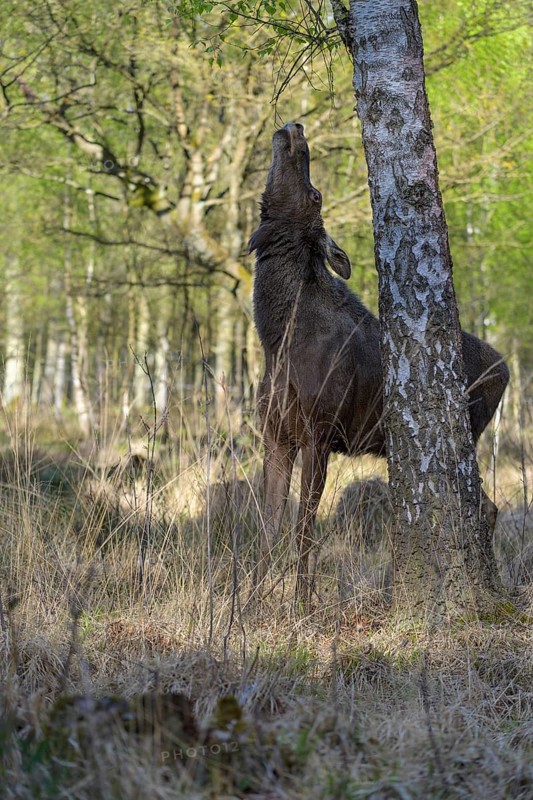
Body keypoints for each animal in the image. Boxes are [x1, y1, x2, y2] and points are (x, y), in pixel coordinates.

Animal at [249, 122, 509, 608]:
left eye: (315, 195)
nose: (296, 128)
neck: (276, 339)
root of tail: (510, 371)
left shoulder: (320, 430)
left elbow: (304, 526)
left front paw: (303, 603)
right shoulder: (275, 434)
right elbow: (268, 527)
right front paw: (252, 605)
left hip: (467, 428)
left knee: (483, 505)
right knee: (485, 504)